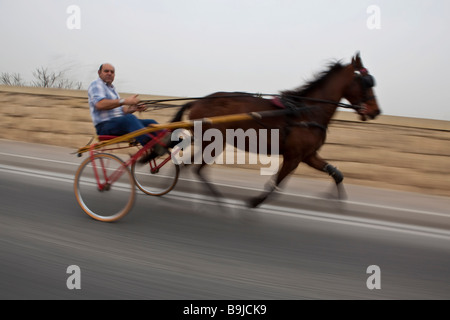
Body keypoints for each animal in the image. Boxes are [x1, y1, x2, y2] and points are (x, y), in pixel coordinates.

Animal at [171, 52, 380, 208]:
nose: (376, 111)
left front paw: (334, 199)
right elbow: (277, 182)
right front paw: (255, 202)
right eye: (367, 81)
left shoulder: (308, 155)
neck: (307, 111)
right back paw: (218, 200)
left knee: (187, 166)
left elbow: (336, 174)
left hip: (208, 142)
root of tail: (197, 101)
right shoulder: (293, 157)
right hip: (215, 142)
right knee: (197, 169)